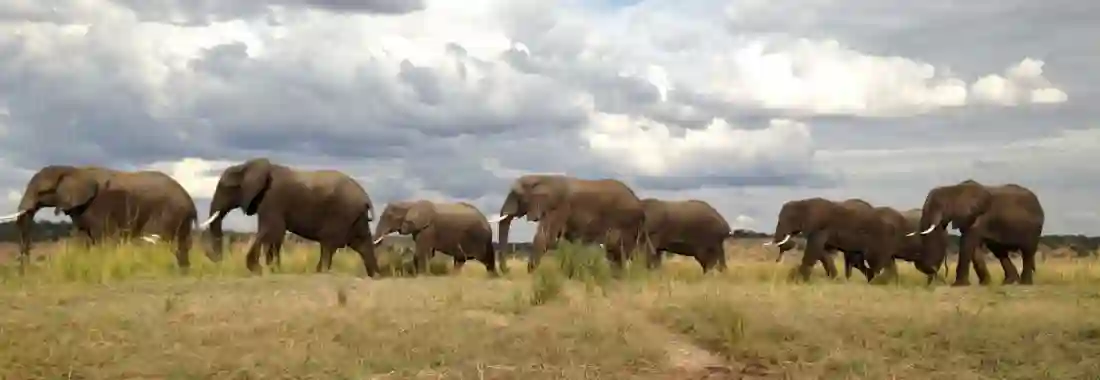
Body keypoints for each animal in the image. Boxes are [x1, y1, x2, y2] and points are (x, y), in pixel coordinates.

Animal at [0, 164, 206, 270]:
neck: (73, 169)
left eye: (42, 192)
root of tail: (191, 202)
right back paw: (183, 270)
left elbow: (102, 237)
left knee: (159, 241)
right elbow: (83, 237)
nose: (24, 266)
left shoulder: (99, 206)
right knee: (181, 244)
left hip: (168, 212)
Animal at [200, 156, 380, 275]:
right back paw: (375, 275)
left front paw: (266, 269)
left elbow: (273, 231)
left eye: (226, 188)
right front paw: (271, 269)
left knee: (329, 244)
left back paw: (320, 272)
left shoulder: (273, 199)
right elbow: (274, 234)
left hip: (342, 213)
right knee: (362, 244)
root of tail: (366, 198)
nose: (218, 260)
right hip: (355, 217)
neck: (247, 166)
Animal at [371, 198, 503, 275]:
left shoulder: (427, 228)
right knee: (461, 258)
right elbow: (426, 253)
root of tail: (487, 222)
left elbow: (422, 252)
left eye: (389, 217)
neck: (410, 204)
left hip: (478, 237)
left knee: (484, 257)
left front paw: (421, 275)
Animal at [490, 172, 642, 274]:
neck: (542, 178)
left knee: (618, 247)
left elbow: (546, 237)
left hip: (625, 219)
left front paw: (531, 272)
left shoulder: (558, 207)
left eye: (516, 195)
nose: (508, 269)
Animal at [906, 179, 1042, 286]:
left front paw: (959, 285)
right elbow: (974, 249)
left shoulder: (978, 217)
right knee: (999, 252)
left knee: (1027, 252)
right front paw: (985, 283)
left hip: (1034, 229)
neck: (954, 189)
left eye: (938, 205)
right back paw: (1009, 282)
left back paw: (1025, 283)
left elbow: (967, 243)